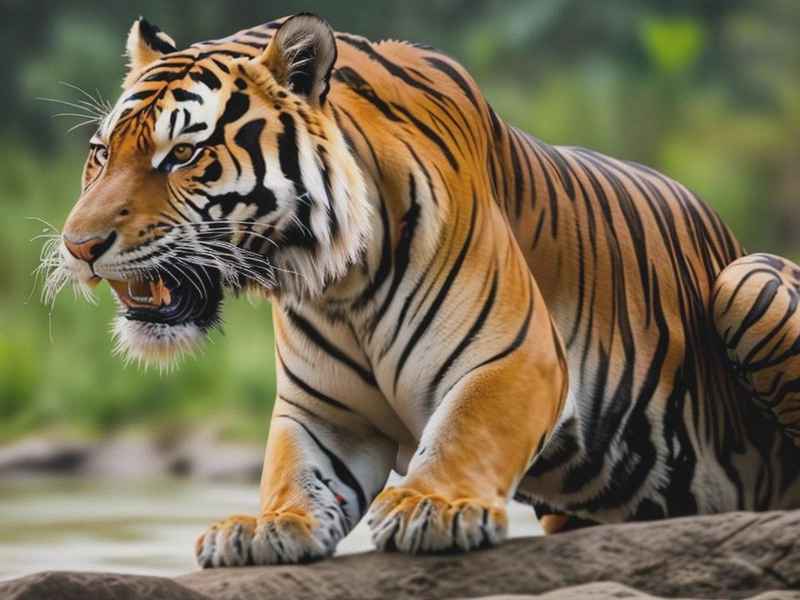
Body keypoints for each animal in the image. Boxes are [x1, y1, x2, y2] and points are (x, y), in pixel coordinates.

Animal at [44, 13, 800, 567]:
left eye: (184, 154)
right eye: (101, 153)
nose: (79, 246)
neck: (338, 284)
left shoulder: (513, 357)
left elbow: (467, 428)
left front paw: (434, 507)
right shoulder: (321, 411)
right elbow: (292, 469)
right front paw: (262, 527)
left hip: (745, 282)